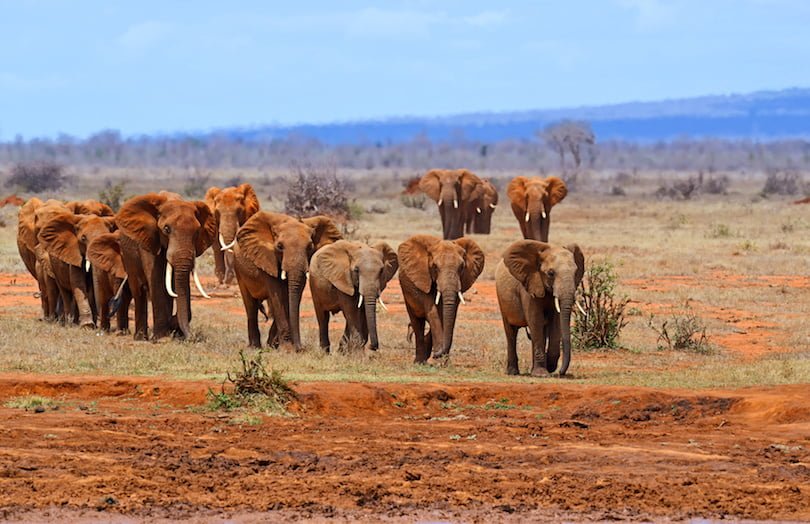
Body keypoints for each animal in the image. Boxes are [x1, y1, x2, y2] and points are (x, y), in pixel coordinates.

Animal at [114, 192, 215, 340]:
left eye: (197, 231)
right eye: (166, 229)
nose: (191, 337)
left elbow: (176, 286)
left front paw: (172, 329)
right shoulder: (149, 238)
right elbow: (157, 282)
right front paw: (163, 339)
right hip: (127, 255)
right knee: (138, 290)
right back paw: (140, 337)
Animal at [232, 211, 340, 350]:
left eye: (310, 247)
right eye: (279, 246)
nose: (300, 348)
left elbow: (291, 295)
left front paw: (275, 345)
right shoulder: (267, 258)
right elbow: (278, 295)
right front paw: (287, 348)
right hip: (238, 269)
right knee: (250, 305)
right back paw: (255, 347)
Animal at [492, 239, 580, 378]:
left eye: (576, 273)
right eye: (550, 273)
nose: (561, 373)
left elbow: (555, 323)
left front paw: (549, 365)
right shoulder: (529, 286)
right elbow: (535, 320)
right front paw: (542, 374)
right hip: (502, 298)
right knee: (511, 332)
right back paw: (513, 372)